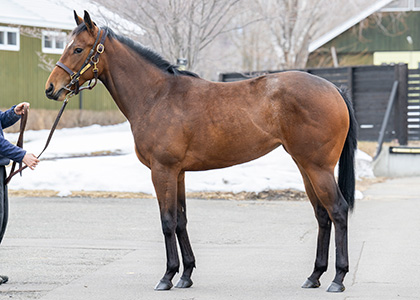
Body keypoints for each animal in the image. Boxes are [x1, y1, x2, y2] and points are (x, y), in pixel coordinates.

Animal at [45, 10, 358, 292]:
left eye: (77, 48)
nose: (51, 89)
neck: (156, 96)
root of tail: (335, 89)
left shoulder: (162, 171)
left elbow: (167, 221)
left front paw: (167, 277)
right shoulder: (179, 173)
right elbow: (181, 220)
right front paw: (185, 276)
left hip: (318, 168)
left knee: (338, 210)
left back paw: (338, 278)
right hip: (305, 167)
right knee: (322, 215)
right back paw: (314, 276)